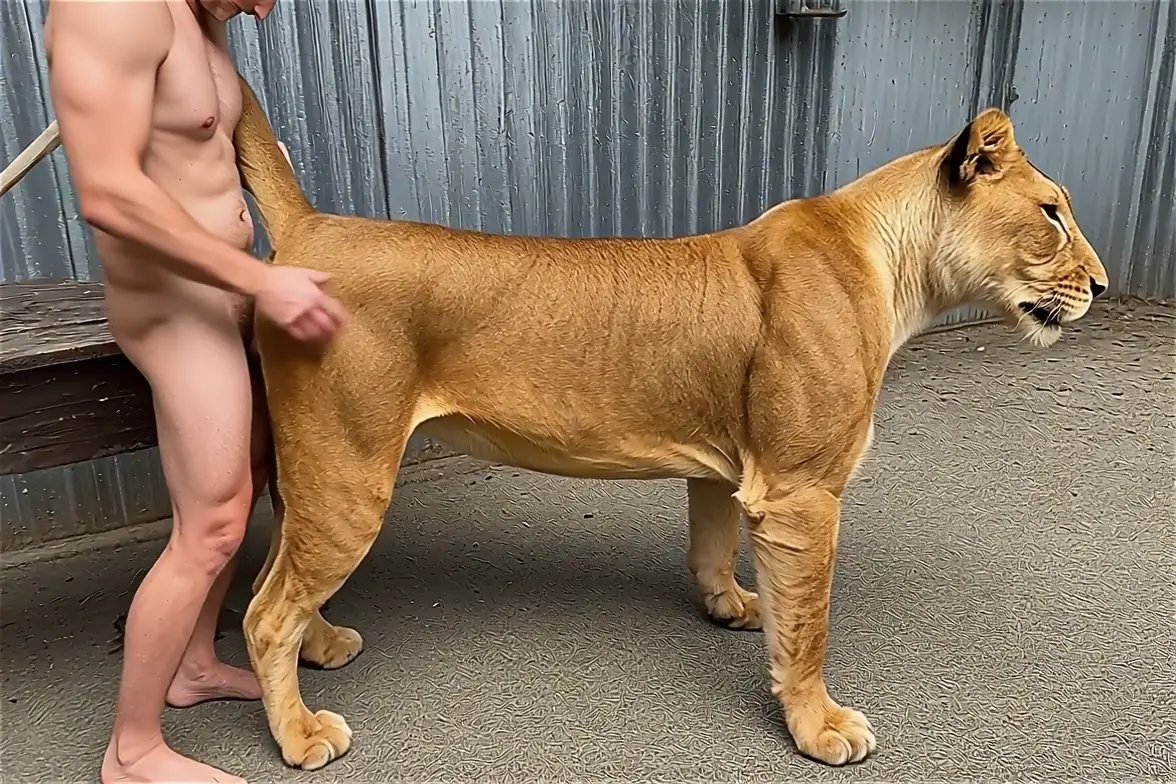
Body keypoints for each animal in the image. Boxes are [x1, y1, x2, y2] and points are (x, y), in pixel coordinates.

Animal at [233, 72, 1107, 772]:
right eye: (1052, 214)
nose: (1100, 285)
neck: (893, 268)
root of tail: (310, 224)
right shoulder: (801, 493)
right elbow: (811, 626)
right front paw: (818, 726)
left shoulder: (732, 470)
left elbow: (715, 550)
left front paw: (735, 608)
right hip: (349, 471)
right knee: (263, 614)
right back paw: (301, 734)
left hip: (314, 469)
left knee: (276, 571)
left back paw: (323, 646)